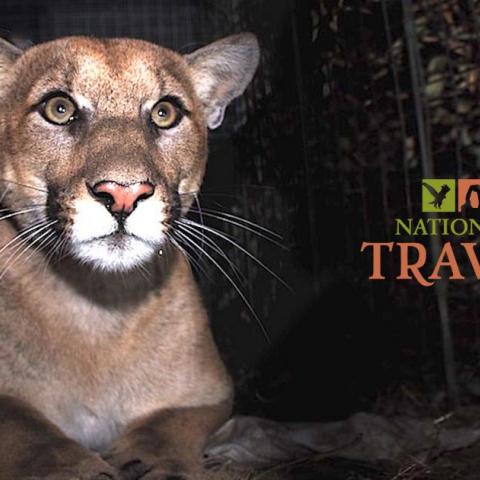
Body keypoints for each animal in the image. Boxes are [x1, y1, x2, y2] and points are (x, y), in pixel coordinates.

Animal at [0, 31, 258, 480]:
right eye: (59, 108)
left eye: (164, 113)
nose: (124, 194)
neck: (98, 305)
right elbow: (27, 430)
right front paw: (70, 470)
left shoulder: (207, 394)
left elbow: (168, 424)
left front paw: (154, 463)